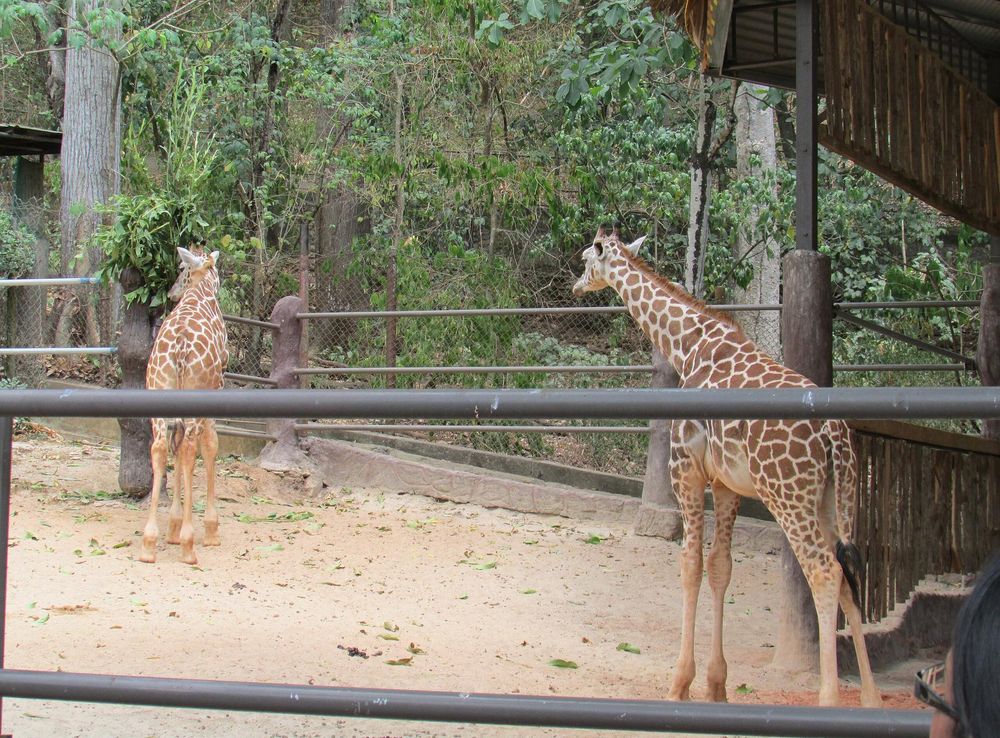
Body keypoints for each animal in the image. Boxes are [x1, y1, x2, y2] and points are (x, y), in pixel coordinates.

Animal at [140, 247, 229, 565]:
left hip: (156, 390)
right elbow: (211, 444)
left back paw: (149, 543)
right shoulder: (219, 382)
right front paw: (210, 530)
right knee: (190, 448)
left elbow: (175, 449)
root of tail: (179, 347)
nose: (171, 292)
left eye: (180, 268)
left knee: (160, 448)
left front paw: (173, 527)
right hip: (195, 390)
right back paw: (190, 546)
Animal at [573, 228, 880, 707]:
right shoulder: (727, 484)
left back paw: (829, 701)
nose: (576, 286)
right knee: (850, 573)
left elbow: (690, 564)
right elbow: (721, 567)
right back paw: (871, 699)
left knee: (825, 572)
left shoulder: (686, 468)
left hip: (788, 496)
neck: (687, 346)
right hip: (834, 497)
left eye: (587, 258)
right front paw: (716, 686)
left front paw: (679, 683)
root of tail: (834, 433)